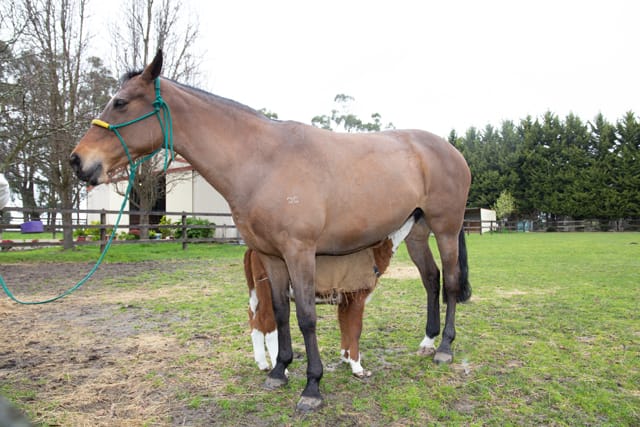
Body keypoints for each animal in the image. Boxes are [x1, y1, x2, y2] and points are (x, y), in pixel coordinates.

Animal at [245, 236, 395, 378]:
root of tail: (252, 249)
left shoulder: (344, 300)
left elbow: (345, 326)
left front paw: (345, 358)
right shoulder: (357, 296)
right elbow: (356, 329)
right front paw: (358, 368)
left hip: (257, 292)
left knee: (255, 317)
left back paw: (262, 364)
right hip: (266, 289)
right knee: (268, 323)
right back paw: (282, 370)